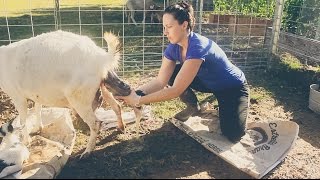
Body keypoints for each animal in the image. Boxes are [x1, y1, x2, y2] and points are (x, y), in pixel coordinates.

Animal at [0, 30, 141, 159]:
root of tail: (101, 57)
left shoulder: (17, 95)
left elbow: (23, 119)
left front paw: (26, 142)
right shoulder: (37, 94)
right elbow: (37, 109)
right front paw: (37, 129)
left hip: (79, 97)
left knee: (96, 123)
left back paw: (86, 152)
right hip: (105, 85)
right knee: (118, 104)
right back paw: (122, 128)